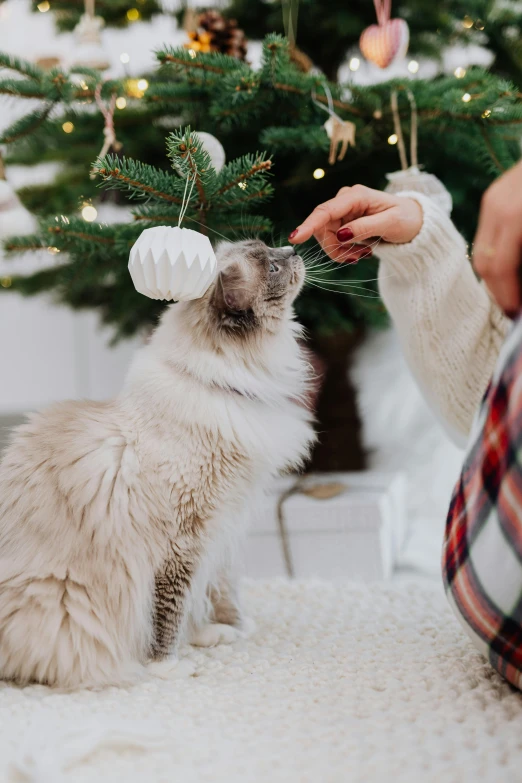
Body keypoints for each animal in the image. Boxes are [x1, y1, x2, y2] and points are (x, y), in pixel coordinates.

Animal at [0, 239, 312, 688]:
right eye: (272, 266)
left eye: (271, 247)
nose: (293, 248)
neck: (221, 388)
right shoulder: (183, 542)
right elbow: (170, 611)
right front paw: (168, 666)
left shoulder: (222, 529)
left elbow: (215, 590)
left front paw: (223, 631)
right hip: (60, 601)